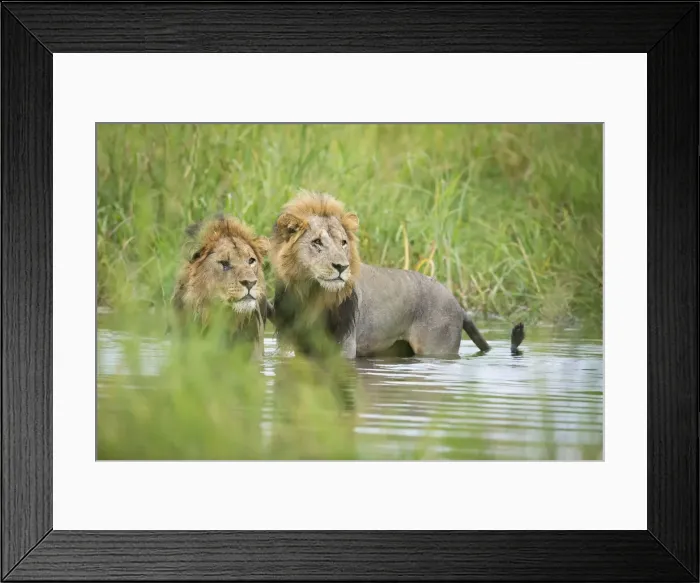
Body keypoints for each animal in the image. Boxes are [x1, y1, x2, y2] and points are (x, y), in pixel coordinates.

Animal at [269, 191, 525, 359]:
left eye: (343, 243)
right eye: (317, 243)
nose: (342, 267)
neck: (311, 294)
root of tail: (459, 305)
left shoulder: (344, 347)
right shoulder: (288, 344)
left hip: (437, 347)